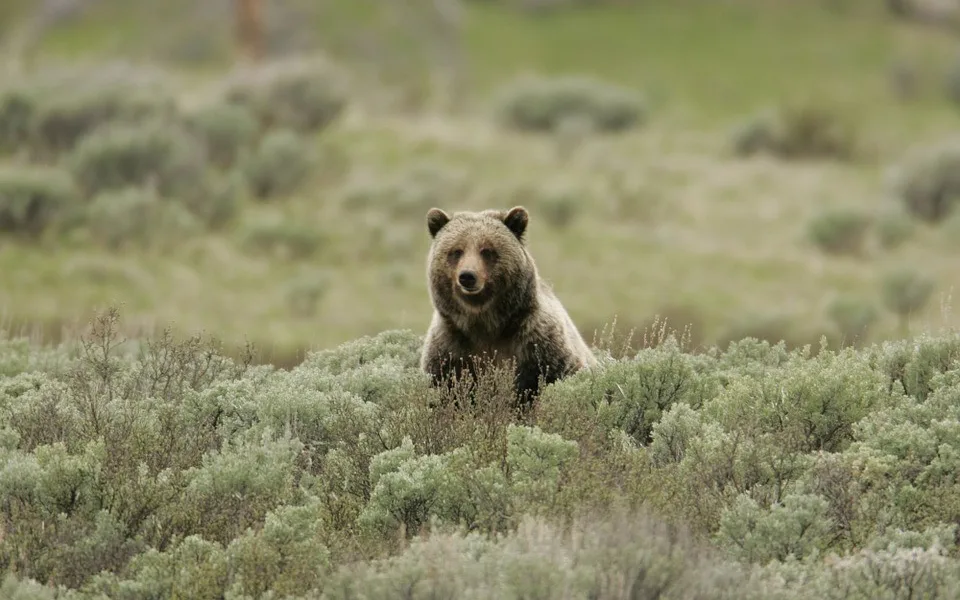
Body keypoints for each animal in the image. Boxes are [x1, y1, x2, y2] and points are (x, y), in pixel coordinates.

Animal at [419, 205, 597, 407]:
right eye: (456, 251)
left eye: (487, 251)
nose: (467, 276)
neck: (485, 323)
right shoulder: (450, 349)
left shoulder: (539, 346)